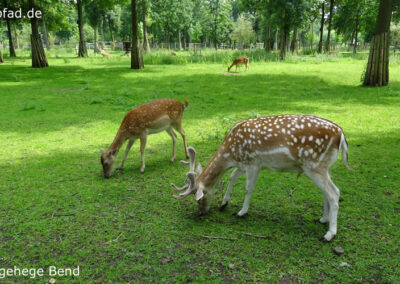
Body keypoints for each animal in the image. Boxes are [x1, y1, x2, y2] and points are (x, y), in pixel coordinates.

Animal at [172, 115, 350, 242]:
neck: (230, 154)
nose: (201, 213)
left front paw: (241, 212)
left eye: (199, 198)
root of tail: (341, 134)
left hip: (314, 165)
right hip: (324, 167)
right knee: (327, 192)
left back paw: (329, 234)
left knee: (334, 192)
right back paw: (323, 219)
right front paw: (224, 203)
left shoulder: (253, 163)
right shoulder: (243, 164)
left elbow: (248, 188)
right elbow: (232, 177)